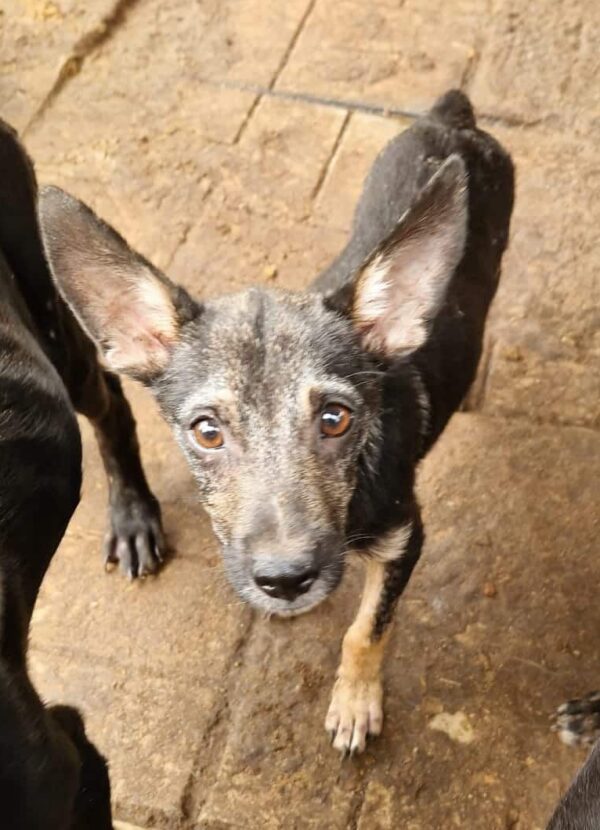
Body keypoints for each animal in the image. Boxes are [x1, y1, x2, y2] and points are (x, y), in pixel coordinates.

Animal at [38, 92, 516, 760]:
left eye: (336, 419)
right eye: (206, 431)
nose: (286, 581)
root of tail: (454, 116)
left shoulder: (406, 537)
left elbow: (366, 630)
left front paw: (355, 705)